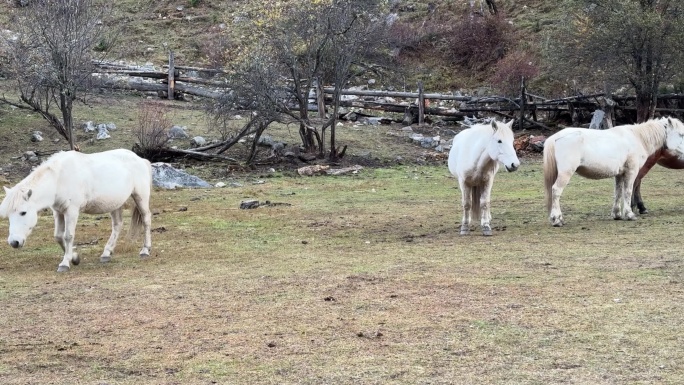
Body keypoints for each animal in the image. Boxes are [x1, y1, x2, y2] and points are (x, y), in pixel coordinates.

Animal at [0, 148, 152, 272]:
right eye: (9, 216)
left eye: (23, 212)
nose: (14, 242)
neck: (59, 179)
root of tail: (140, 159)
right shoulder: (58, 212)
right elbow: (58, 236)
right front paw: (74, 258)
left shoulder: (71, 211)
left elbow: (68, 236)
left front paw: (65, 264)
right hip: (115, 204)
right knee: (117, 225)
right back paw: (106, 253)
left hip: (140, 197)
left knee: (146, 219)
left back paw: (145, 250)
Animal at [544, 116, 684, 225]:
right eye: (681, 134)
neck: (637, 138)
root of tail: (555, 137)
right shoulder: (631, 172)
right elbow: (628, 192)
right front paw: (629, 214)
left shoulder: (619, 174)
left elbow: (618, 193)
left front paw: (617, 214)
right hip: (565, 174)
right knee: (556, 191)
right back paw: (557, 220)